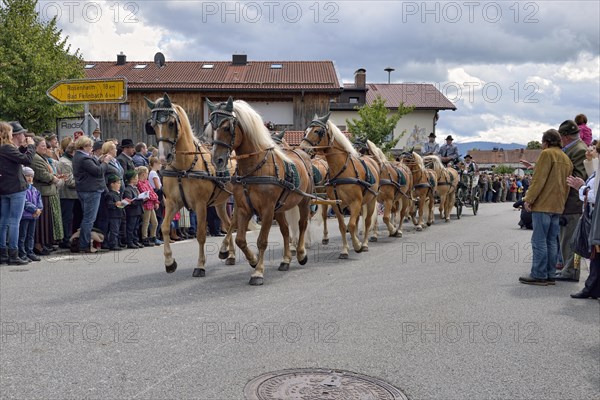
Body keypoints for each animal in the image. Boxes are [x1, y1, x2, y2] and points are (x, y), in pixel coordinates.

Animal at [144, 92, 236, 276]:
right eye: (153, 125)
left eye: (171, 123)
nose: (163, 157)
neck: (184, 167)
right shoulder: (172, 203)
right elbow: (165, 227)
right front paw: (169, 262)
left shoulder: (200, 205)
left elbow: (200, 234)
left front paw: (200, 265)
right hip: (221, 203)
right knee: (229, 224)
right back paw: (229, 254)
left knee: (235, 223)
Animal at [209, 96, 314, 284]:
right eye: (212, 127)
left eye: (227, 127)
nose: (217, 160)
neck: (254, 168)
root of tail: (302, 154)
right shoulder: (244, 208)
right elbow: (240, 240)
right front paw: (253, 260)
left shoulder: (267, 210)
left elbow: (262, 241)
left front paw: (258, 272)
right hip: (280, 209)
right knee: (285, 230)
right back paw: (285, 260)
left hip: (304, 201)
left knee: (302, 224)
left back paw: (301, 254)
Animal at [300, 111, 380, 260]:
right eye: (305, 131)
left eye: (318, 131)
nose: (302, 148)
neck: (342, 170)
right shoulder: (336, 204)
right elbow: (343, 226)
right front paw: (345, 250)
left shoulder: (355, 202)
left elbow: (352, 224)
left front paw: (357, 245)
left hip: (372, 200)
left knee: (367, 221)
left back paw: (365, 243)